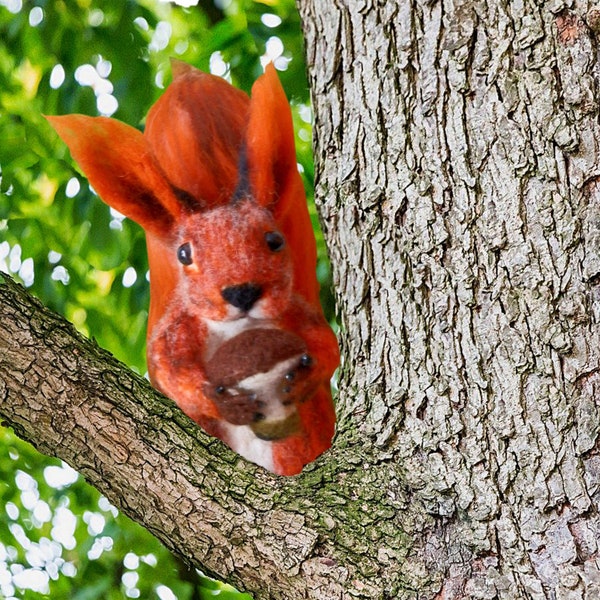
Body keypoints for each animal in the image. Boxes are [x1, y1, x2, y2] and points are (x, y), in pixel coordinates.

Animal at [46, 59, 338, 474]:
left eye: (274, 240)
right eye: (184, 255)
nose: (242, 293)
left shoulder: (294, 314)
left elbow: (328, 346)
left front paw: (303, 376)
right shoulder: (179, 326)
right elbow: (170, 369)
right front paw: (217, 397)